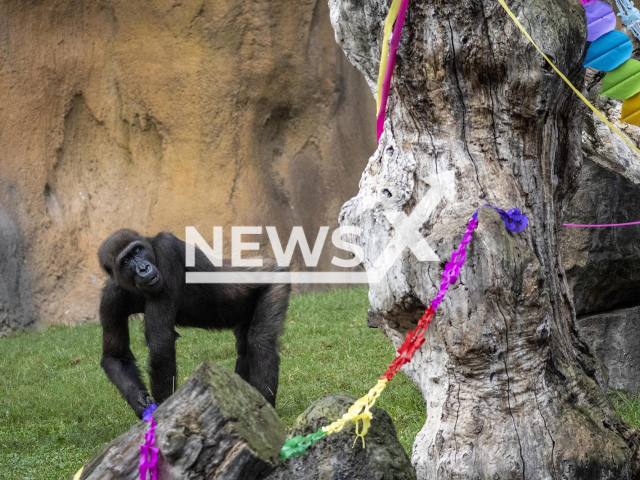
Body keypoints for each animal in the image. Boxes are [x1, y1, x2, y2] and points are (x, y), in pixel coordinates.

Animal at [96, 229, 288, 416]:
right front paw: (138, 399)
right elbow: (116, 356)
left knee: (261, 343)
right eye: (126, 260)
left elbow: (161, 342)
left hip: (276, 278)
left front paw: (163, 410)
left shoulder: (166, 252)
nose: (143, 268)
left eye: (137, 250)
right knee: (244, 348)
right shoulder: (111, 295)